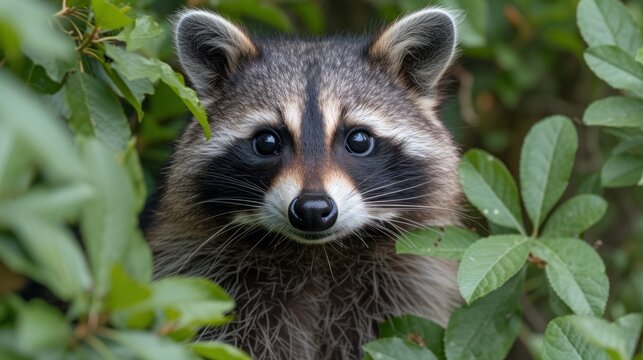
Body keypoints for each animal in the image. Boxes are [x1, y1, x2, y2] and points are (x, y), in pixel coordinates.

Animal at [151, 8, 462, 360]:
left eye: (358, 140)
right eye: (267, 141)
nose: (313, 209)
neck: (317, 253)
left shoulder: (407, 286)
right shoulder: (208, 277)